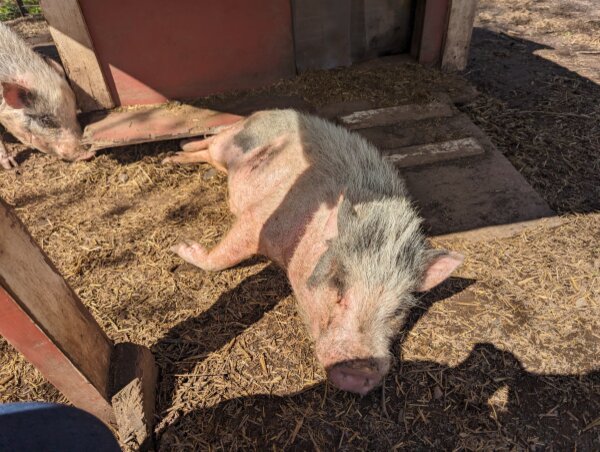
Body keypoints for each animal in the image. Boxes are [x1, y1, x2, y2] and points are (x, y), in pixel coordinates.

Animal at [166, 109, 463, 395]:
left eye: (398, 310)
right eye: (339, 286)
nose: (362, 371)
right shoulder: (260, 217)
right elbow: (223, 255)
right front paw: (179, 247)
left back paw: (176, 155)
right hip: (234, 138)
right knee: (210, 142)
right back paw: (175, 152)